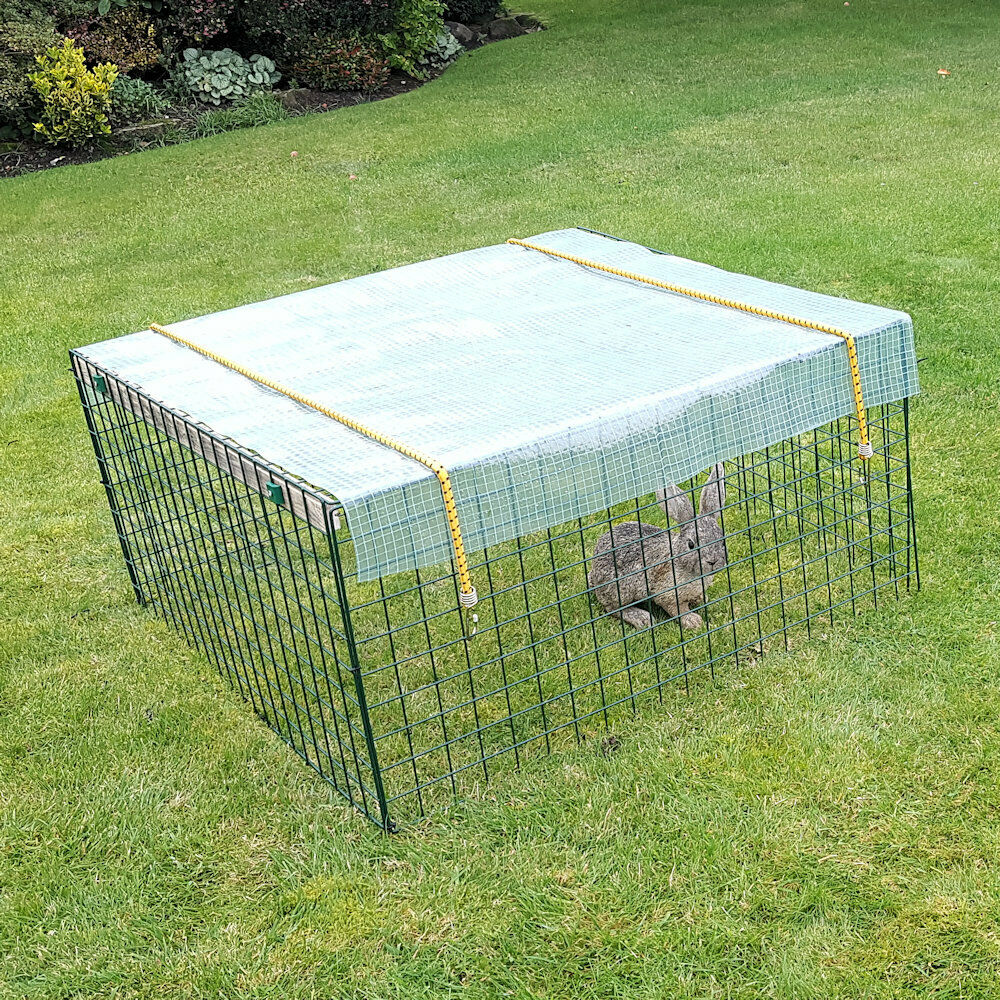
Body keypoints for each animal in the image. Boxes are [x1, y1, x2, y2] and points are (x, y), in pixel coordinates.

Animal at [587, 464, 727, 631]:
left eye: (722, 540)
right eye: (691, 544)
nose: (712, 561)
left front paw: (702, 598)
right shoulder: (668, 594)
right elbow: (677, 609)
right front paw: (693, 621)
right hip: (619, 590)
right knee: (613, 608)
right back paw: (642, 618)